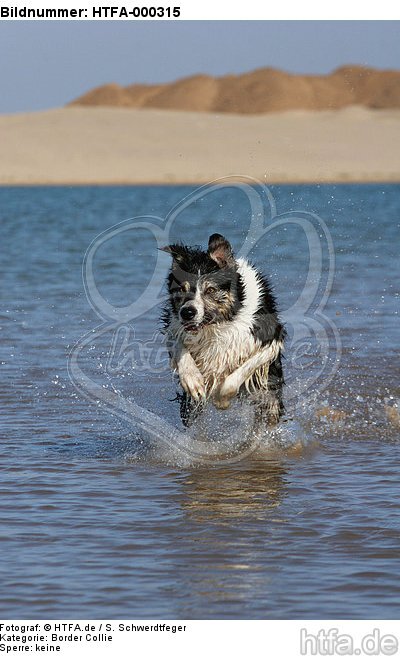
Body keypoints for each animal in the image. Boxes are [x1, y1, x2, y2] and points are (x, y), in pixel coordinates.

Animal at [162, 233, 284, 428]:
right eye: (181, 289)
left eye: (210, 289)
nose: (187, 313)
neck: (218, 325)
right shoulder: (174, 326)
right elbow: (179, 346)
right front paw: (192, 380)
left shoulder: (271, 338)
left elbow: (244, 368)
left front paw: (221, 400)